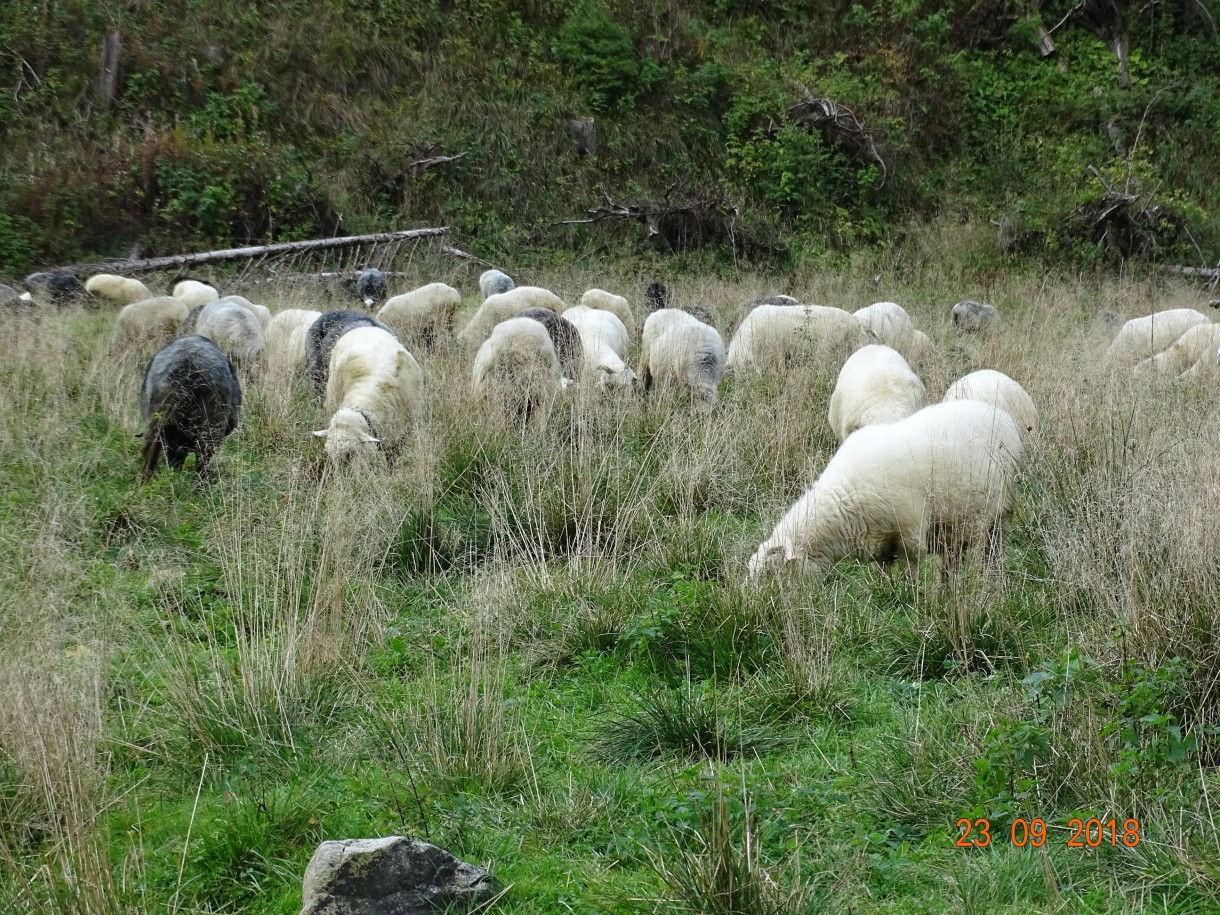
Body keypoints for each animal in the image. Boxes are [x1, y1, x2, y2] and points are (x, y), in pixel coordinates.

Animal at [746, 402, 1024, 580]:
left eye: (773, 574)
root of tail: (1002, 414)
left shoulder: (911, 532)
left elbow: (911, 573)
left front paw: (913, 601)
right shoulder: (878, 541)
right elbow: (881, 574)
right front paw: (885, 592)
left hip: (998, 515)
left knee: (993, 554)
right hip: (953, 525)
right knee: (953, 561)